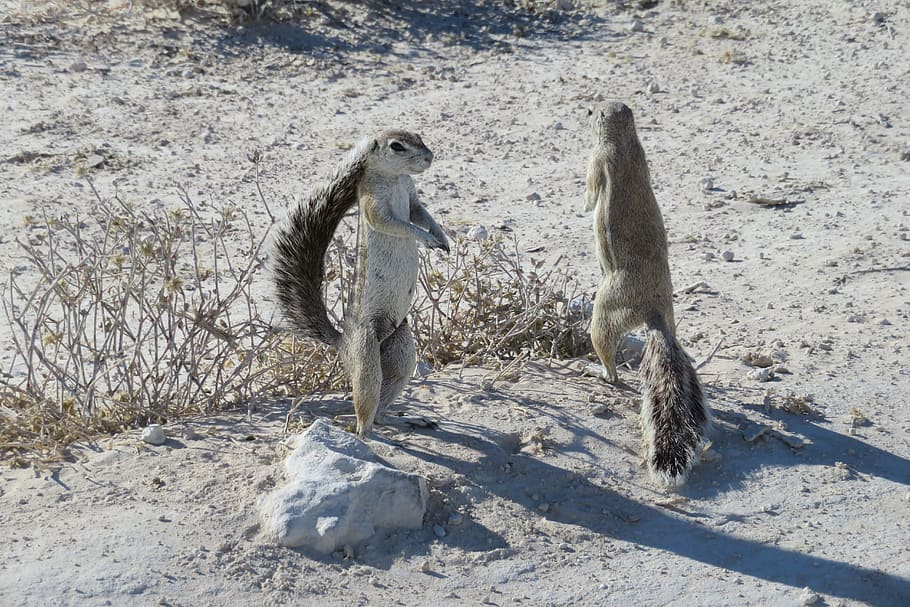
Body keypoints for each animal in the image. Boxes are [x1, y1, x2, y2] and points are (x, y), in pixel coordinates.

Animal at [272, 130, 449, 438]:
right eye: (397, 146)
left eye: (419, 136)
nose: (429, 157)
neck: (396, 178)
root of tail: (343, 342)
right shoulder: (372, 204)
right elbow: (399, 224)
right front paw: (425, 238)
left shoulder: (412, 197)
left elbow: (421, 213)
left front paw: (441, 236)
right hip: (366, 355)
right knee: (365, 407)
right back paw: (367, 434)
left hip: (401, 351)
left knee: (383, 406)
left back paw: (403, 421)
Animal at [584, 102, 710, 487]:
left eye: (594, 110)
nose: (586, 111)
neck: (625, 141)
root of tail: (655, 314)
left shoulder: (598, 158)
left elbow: (590, 194)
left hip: (606, 309)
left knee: (607, 354)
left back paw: (598, 372)